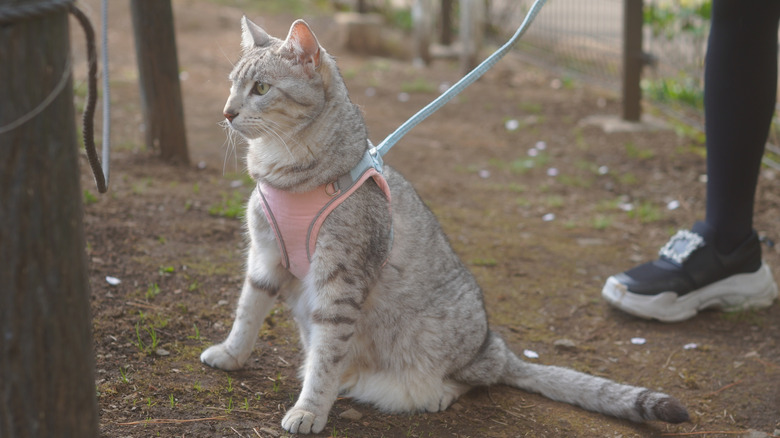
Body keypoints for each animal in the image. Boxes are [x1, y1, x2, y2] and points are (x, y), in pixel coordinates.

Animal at [201, 16, 688, 434]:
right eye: (231, 85)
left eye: (261, 88)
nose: (225, 112)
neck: (283, 172)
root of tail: (496, 345)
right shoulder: (264, 258)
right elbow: (247, 312)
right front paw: (230, 354)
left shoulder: (340, 281)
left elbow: (325, 358)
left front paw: (308, 410)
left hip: (445, 338)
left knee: (473, 378)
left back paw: (434, 392)